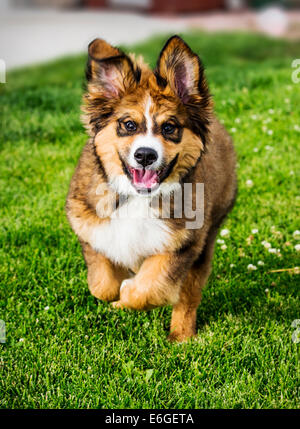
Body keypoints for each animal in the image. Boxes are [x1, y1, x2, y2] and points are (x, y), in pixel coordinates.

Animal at [65, 35, 237, 342]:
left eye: (169, 127)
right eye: (128, 124)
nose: (145, 155)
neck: (137, 199)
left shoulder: (184, 244)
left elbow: (150, 289)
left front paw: (128, 292)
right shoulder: (89, 227)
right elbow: (102, 285)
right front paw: (117, 294)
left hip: (208, 237)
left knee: (188, 295)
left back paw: (181, 336)